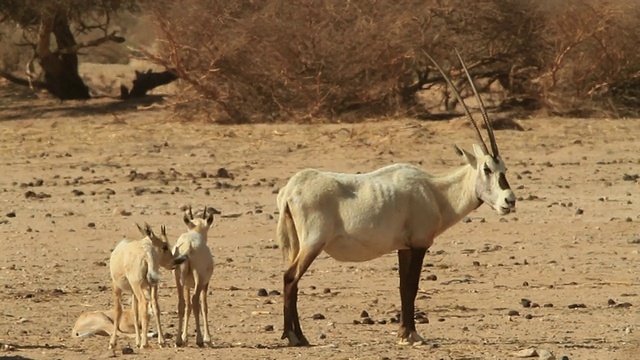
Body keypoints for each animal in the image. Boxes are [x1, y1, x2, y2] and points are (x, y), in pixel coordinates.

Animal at [276, 49, 516, 348]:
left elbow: (403, 287)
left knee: (293, 280)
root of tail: (290, 190)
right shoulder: (420, 244)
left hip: (297, 244)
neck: (435, 192)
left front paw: (404, 331)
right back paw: (293, 336)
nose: (509, 200)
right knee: (290, 278)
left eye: (504, 169)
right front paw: (411, 334)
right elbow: (411, 286)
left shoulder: (404, 247)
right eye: (487, 169)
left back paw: (300, 336)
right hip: (312, 243)